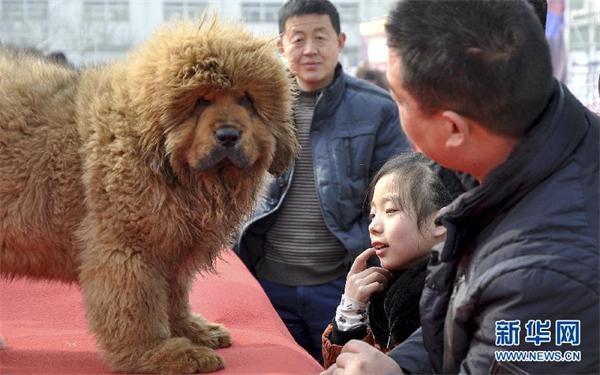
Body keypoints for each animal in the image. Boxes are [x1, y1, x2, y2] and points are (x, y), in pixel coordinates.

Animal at [0, 19, 298, 374]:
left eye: (246, 100)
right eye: (200, 102)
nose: (228, 135)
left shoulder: (172, 247)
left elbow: (175, 296)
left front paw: (192, 330)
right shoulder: (129, 248)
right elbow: (137, 308)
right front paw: (158, 353)